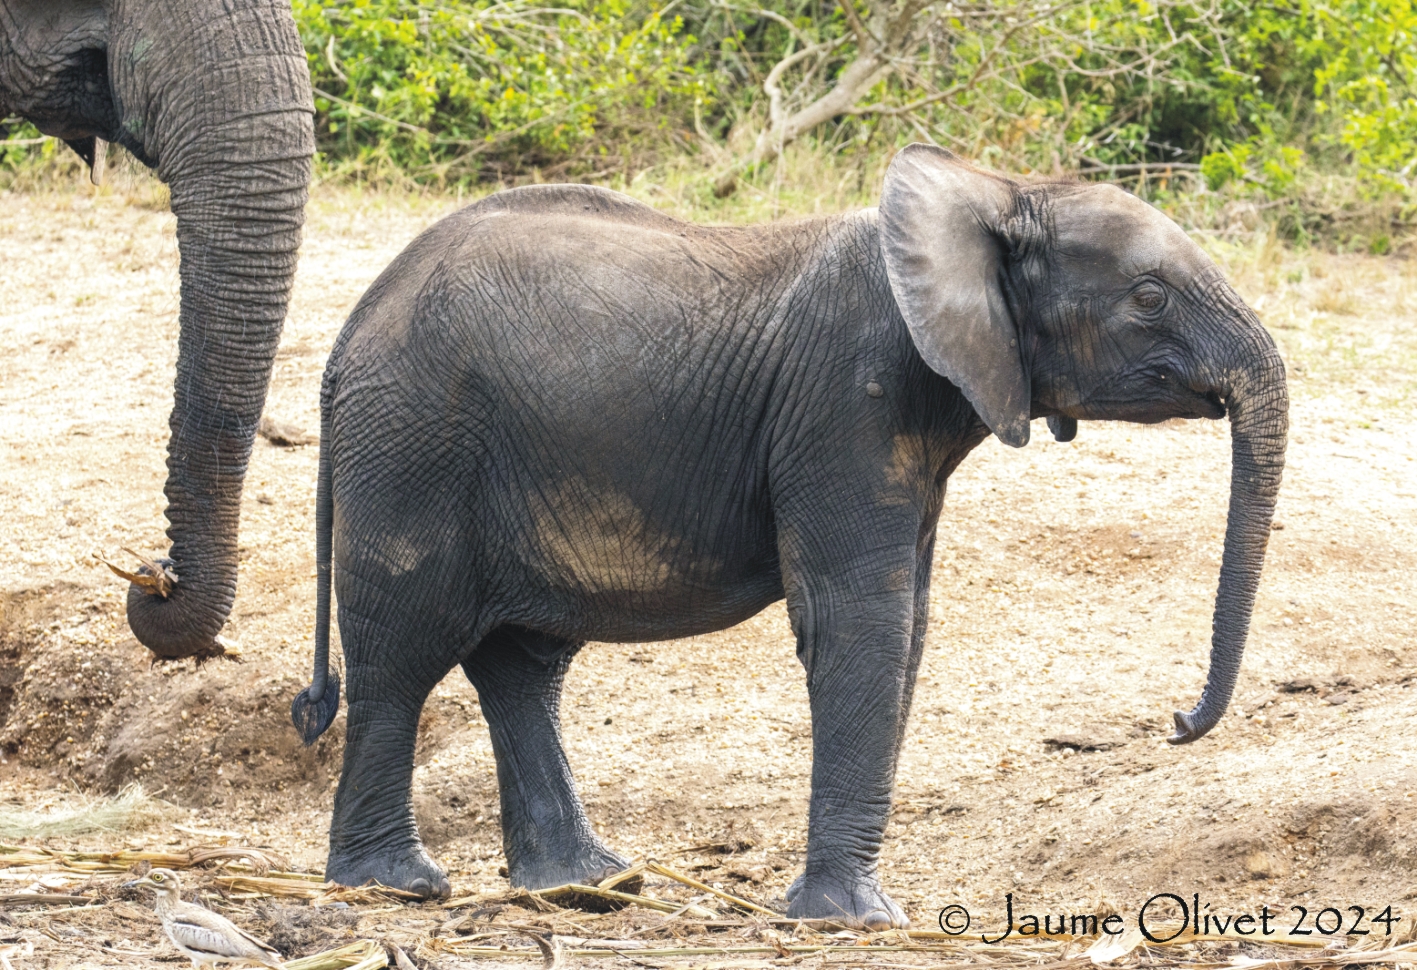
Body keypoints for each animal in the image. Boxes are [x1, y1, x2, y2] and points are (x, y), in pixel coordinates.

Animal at [296, 143, 1286, 923]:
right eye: (1148, 298)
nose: (1177, 722)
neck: (996, 190)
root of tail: (350, 335)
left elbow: (907, 625)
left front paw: (847, 909)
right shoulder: (847, 398)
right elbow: (858, 620)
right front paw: (855, 919)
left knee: (521, 663)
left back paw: (588, 886)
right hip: (415, 445)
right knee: (403, 653)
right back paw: (397, 884)